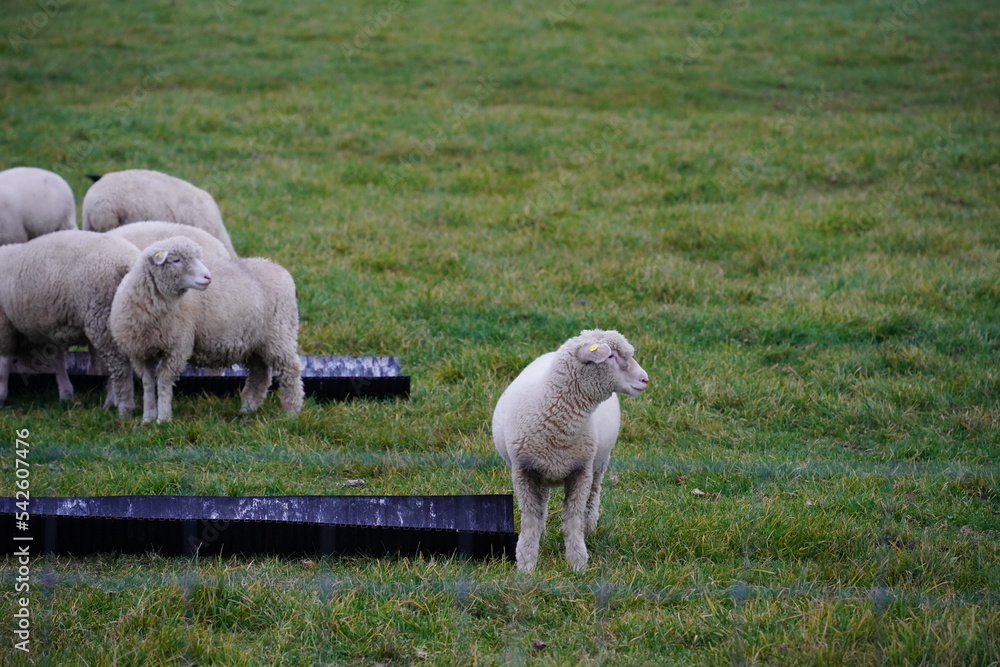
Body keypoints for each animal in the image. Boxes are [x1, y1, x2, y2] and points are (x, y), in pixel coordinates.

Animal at [0, 230, 138, 414]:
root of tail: (130, 261)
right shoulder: (50, 327)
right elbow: (58, 360)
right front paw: (65, 394)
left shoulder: (3, 325)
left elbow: (3, 367)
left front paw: (0, 397)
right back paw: (111, 403)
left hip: (103, 319)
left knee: (120, 366)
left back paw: (123, 409)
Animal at [110, 235, 304, 422]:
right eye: (176, 260)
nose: (208, 277)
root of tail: (280, 269)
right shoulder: (140, 351)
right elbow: (148, 384)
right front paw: (148, 418)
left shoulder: (177, 348)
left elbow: (164, 383)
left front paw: (163, 419)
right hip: (255, 342)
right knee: (260, 374)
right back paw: (248, 409)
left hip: (279, 334)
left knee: (291, 369)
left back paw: (292, 412)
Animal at [492, 329, 649, 572]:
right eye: (611, 356)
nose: (645, 379)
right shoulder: (523, 470)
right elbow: (530, 518)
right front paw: (526, 563)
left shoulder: (581, 470)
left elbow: (573, 517)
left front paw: (577, 562)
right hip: (541, 469)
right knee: (542, 502)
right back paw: (542, 533)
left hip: (599, 463)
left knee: (593, 495)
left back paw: (589, 528)